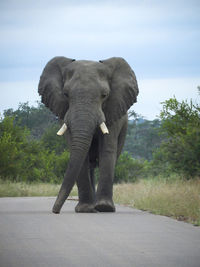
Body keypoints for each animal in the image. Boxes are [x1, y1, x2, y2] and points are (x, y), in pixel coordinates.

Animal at [38, 56, 139, 214]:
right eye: (66, 94)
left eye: (104, 95)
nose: (55, 211)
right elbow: (79, 153)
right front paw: (85, 209)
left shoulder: (113, 111)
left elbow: (107, 150)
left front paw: (104, 207)